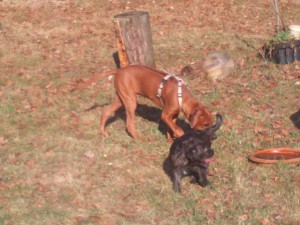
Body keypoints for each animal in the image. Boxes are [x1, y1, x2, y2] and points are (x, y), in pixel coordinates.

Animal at [72, 64, 213, 140]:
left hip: (121, 98)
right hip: (130, 101)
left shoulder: (172, 116)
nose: (213, 137)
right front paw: (180, 136)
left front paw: (171, 140)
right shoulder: (165, 115)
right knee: (129, 124)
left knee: (106, 111)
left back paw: (103, 132)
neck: (181, 96)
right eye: (205, 124)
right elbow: (178, 130)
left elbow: (171, 128)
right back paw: (139, 139)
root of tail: (119, 70)